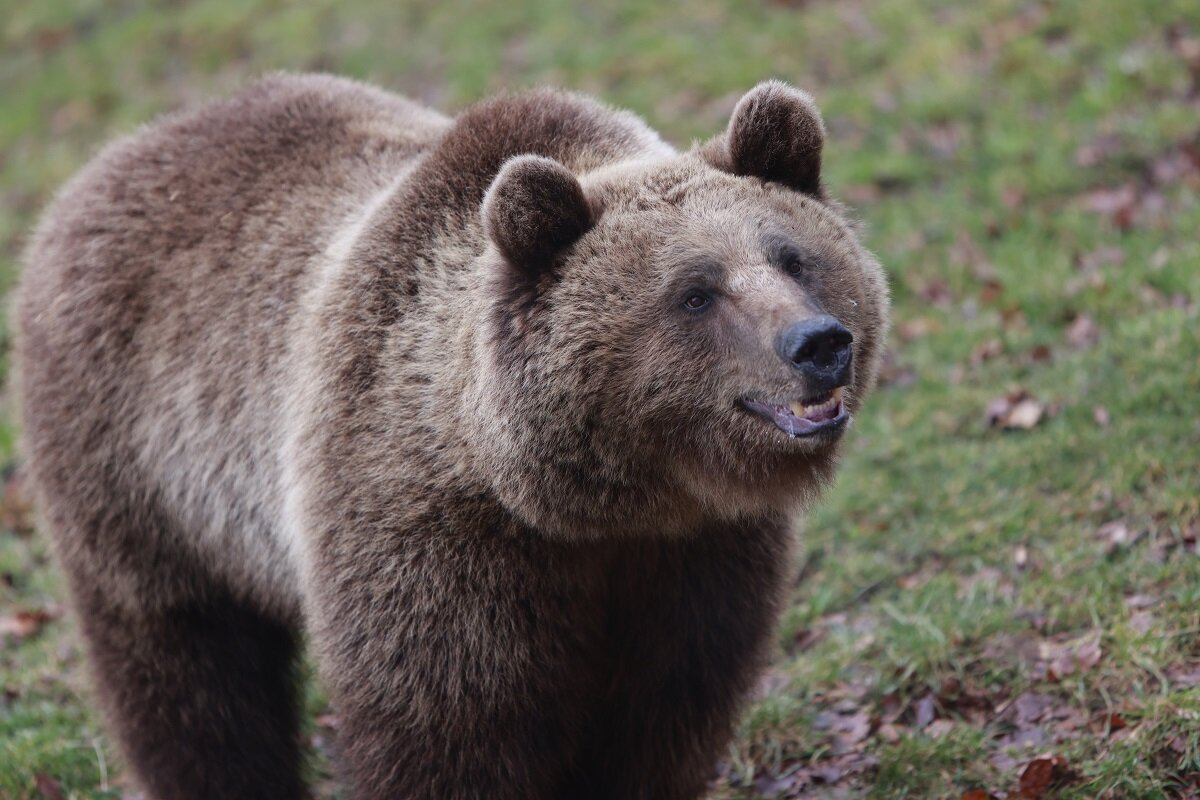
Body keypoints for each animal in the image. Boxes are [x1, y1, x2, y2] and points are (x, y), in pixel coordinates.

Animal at [14, 74, 888, 800]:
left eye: (792, 257)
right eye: (697, 293)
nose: (817, 343)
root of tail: (110, 159)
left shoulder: (695, 556)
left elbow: (663, 708)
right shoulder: (428, 536)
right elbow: (449, 727)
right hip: (141, 477)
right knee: (187, 675)